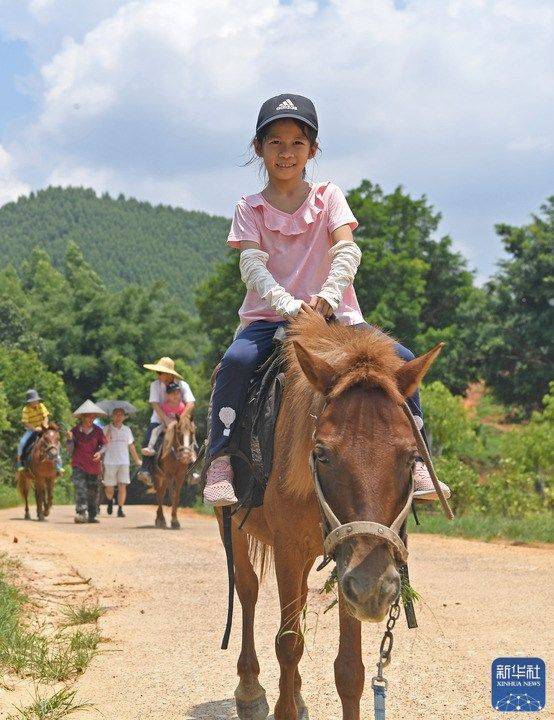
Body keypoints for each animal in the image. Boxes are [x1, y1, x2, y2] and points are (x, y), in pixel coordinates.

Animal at [213, 314, 442, 720]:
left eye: (412, 456)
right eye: (321, 454)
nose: (375, 588)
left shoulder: (348, 560)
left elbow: (350, 668)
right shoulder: (290, 550)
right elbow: (288, 645)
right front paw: (280, 705)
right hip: (233, 528)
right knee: (247, 589)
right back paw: (250, 690)